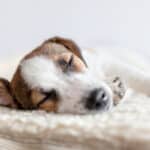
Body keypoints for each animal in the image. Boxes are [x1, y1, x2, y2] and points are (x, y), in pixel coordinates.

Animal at [0, 37, 149, 114]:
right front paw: (113, 88)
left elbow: (140, 78)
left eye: (69, 61)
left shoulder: (110, 62)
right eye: (45, 97)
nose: (98, 97)